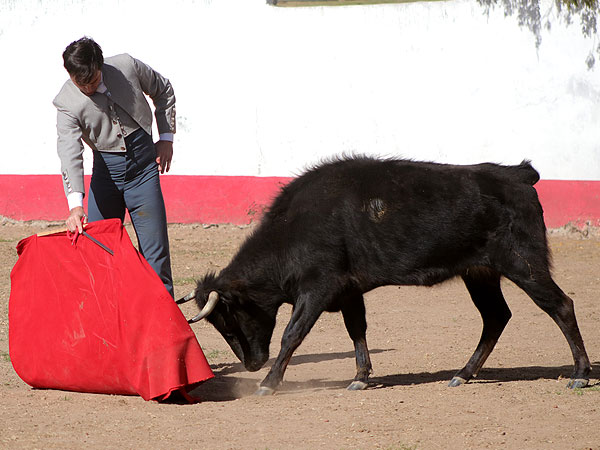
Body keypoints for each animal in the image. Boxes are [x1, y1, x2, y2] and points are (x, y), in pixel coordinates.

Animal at [177, 156, 592, 396]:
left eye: (229, 321)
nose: (251, 365)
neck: (294, 228)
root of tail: (516, 175)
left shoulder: (318, 287)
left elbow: (292, 334)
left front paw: (268, 383)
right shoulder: (347, 291)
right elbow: (357, 330)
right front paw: (360, 377)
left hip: (524, 264)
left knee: (561, 306)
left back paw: (581, 373)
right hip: (481, 274)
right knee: (495, 317)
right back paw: (463, 374)